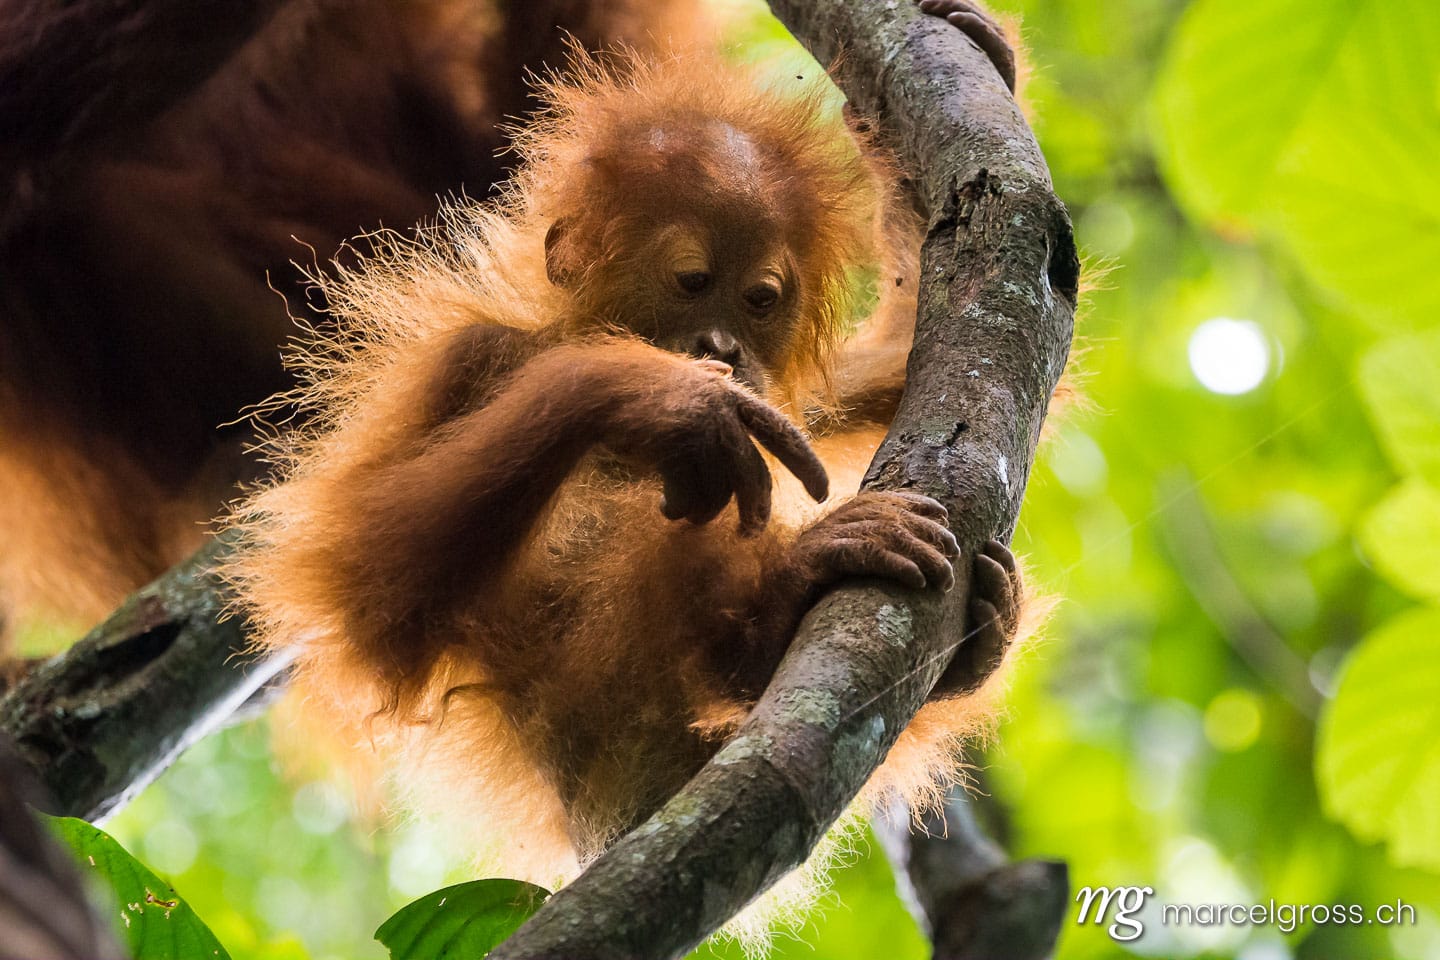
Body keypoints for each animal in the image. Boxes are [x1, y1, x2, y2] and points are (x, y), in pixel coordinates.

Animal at [224, 9, 1036, 906]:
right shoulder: (469, 359)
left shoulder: (799, 400)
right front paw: (665, 401)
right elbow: (369, 593)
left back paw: (970, 643)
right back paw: (784, 597)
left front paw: (964, 78)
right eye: (691, 281)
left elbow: (889, 367)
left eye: (760, 299)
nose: (722, 348)